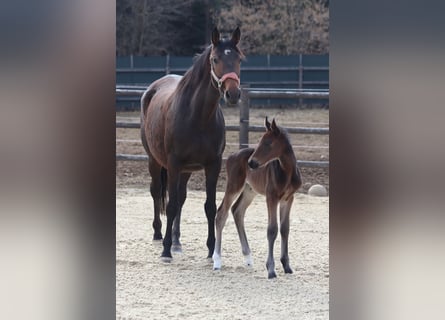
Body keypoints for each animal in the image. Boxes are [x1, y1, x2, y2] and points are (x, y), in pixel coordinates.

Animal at [140, 27, 243, 262]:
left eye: (239, 59)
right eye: (215, 59)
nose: (233, 94)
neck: (198, 117)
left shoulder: (213, 165)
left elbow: (210, 206)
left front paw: (211, 249)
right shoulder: (173, 164)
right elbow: (169, 206)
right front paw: (166, 250)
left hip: (186, 170)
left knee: (181, 198)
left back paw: (177, 240)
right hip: (155, 161)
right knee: (157, 192)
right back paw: (159, 234)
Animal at [212, 117, 302, 278]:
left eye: (268, 143)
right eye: (260, 141)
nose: (251, 163)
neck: (287, 172)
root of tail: (231, 156)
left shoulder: (288, 199)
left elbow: (285, 229)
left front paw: (286, 266)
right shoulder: (271, 197)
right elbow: (272, 230)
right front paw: (271, 270)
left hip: (249, 191)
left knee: (237, 211)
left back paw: (248, 258)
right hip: (234, 185)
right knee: (222, 213)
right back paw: (217, 261)